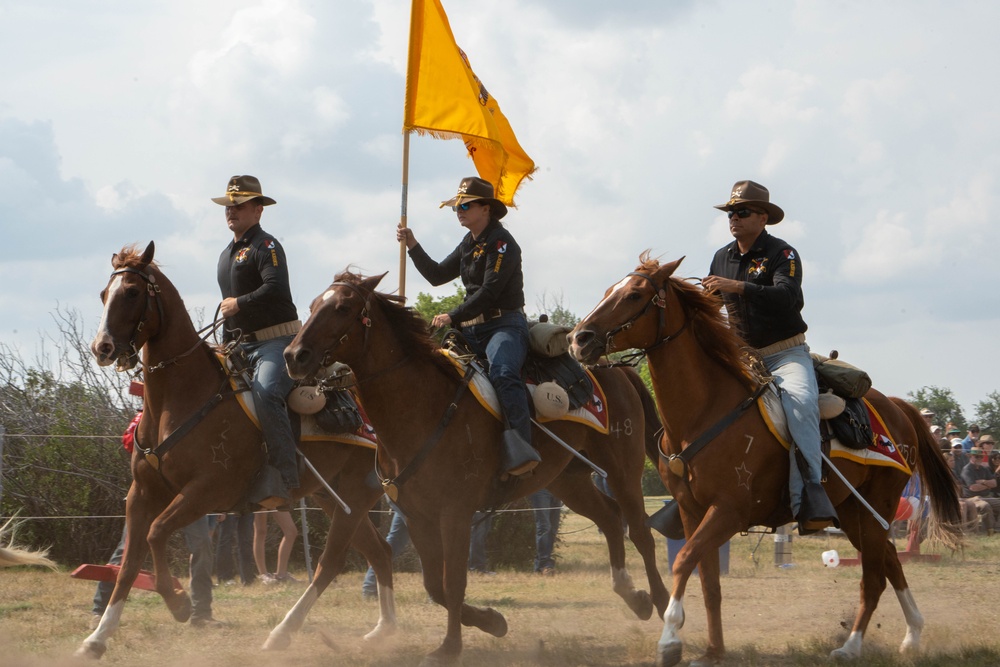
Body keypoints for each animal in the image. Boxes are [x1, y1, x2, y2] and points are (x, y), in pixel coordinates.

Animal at [79, 243, 398, 660]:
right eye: (104, 294)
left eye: (132, 293)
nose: (102, 347)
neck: (182, 397)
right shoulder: (142, 493)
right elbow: (130, 563)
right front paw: (97, 638)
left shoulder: (208, 490)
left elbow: (156, 533)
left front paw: (179, 603)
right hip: (334, 499)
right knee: (381, 552)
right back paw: (383, 630)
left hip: (356, 496)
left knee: (333, 563)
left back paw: (284, 633)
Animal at [286, 268, 668, 664]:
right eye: (312, 305)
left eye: (343, 307)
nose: (294, 355)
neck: (423, 406)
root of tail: (617, 370)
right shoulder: (416, 516)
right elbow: (435, 585)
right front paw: (491, 621)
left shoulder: (455, 512)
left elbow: (453, 582)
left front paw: (449, 647)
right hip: (569, 481)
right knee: (609, 517)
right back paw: (634, 596)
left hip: (623, 469)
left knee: (640, 530)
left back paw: (662, 602)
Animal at [576, 254, 964, 667]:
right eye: (609, 290)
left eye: (634, 294)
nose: (580, 338)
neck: (705, 412)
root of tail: (898, 407)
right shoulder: (691, 510)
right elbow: (708, 581)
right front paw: (713, 651)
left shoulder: (729, 511)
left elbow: (683, 561)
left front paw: (670, 642)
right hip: (856, 513)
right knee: (890, 560)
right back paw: (912, 634)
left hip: (877, 507)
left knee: (874, 577)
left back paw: (851, 646)